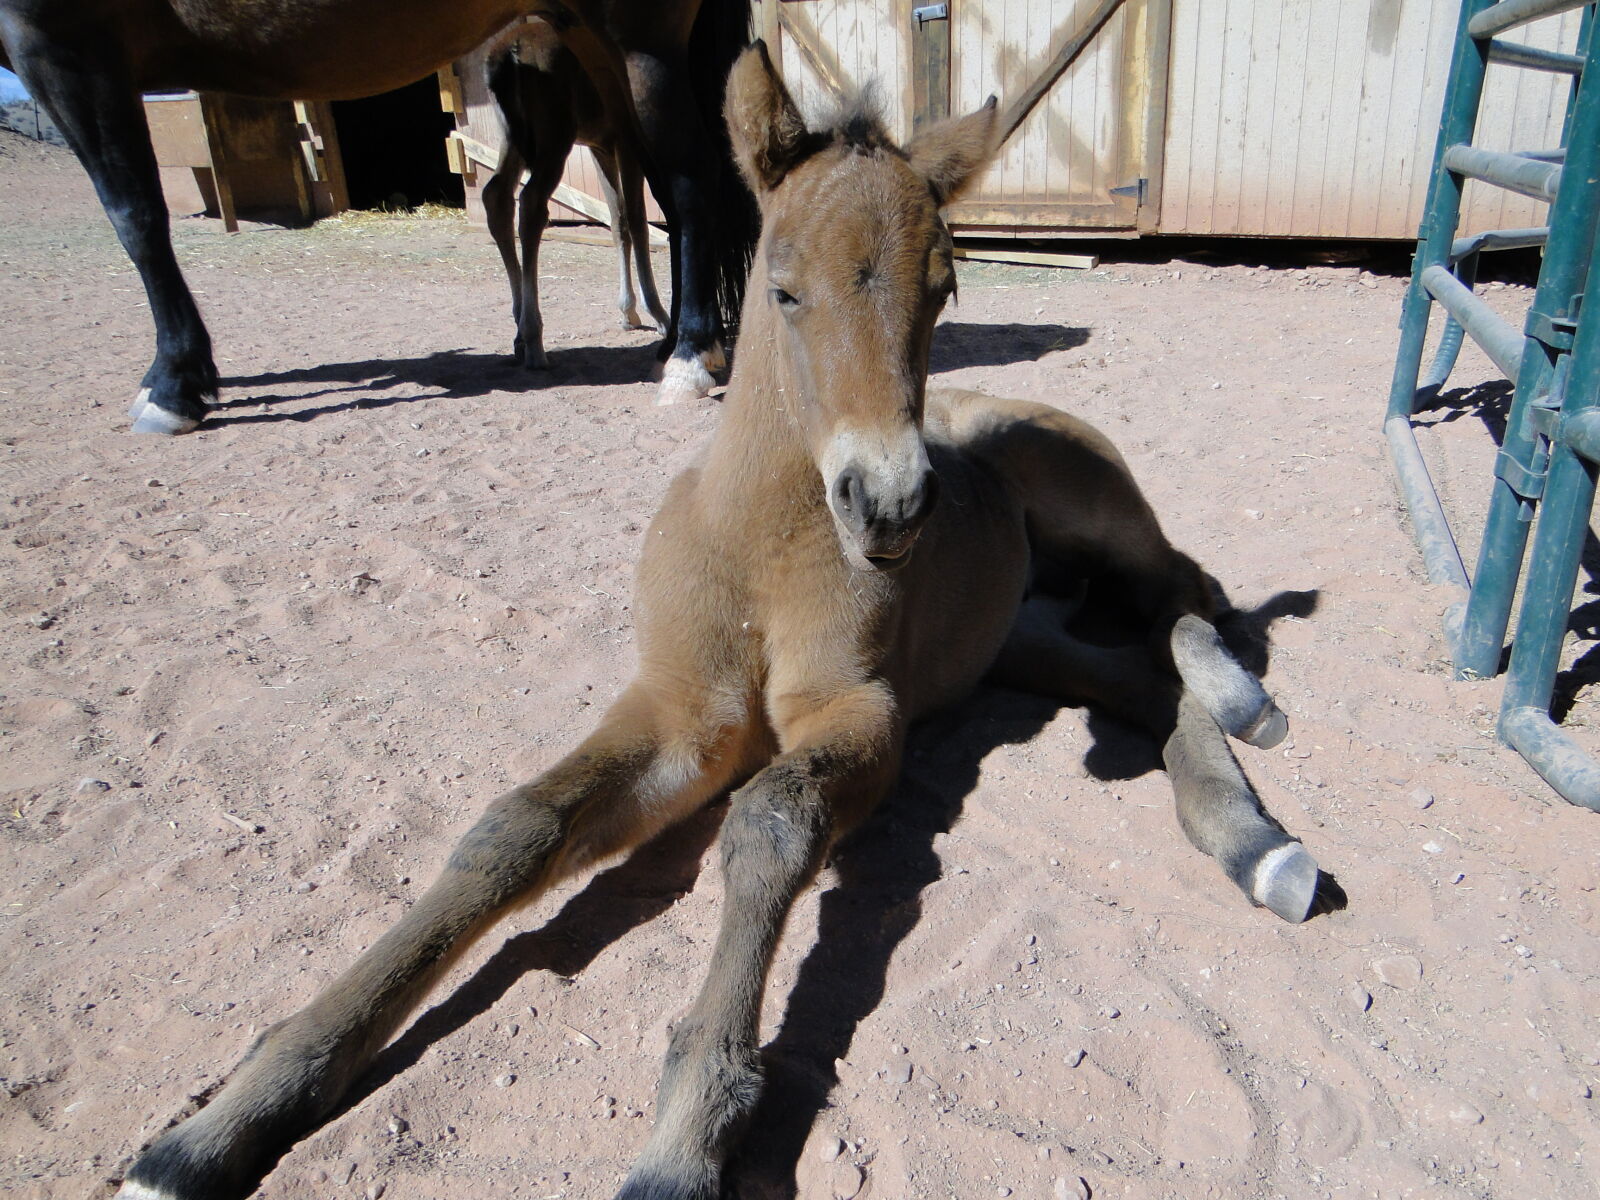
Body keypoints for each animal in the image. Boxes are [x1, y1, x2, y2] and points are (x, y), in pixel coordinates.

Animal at [0, 0, 758, 432]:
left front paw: (175, 381)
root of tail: (512, 48)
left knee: (647, 187)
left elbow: (135, 214)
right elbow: (629, 216)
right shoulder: (606, 139)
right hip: (578, 100)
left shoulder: (62, 41)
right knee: (533, 201)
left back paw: (666, 348)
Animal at [116, 42, 1337, 1200]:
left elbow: (770, 825)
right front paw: (223, 1121)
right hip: (1010, 639)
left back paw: (1248, 712)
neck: (755, 548)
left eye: (943, 292)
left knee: (1188, 593)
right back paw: (1251, 837)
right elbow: (514, 829)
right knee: (1134, 673)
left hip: (1090, 499)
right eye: (783, 289)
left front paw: (685, 1133)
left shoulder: (860, 708)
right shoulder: (683, 713)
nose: (891, 507)